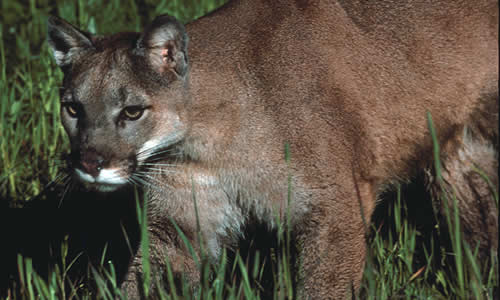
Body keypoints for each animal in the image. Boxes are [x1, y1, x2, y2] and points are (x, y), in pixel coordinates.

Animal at [46, 0, 496, 298]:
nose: (89, 162)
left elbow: (324, 286)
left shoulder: (333, 209)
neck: (208, 139)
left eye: (132, 111)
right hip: (464, 162)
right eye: (72, 107)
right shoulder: (180, 222)